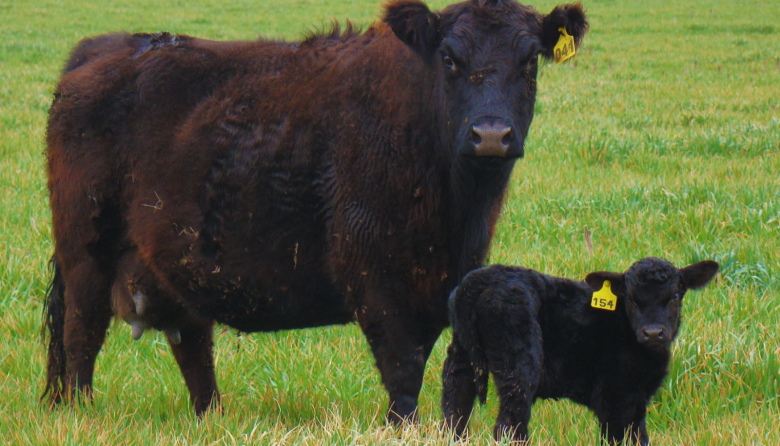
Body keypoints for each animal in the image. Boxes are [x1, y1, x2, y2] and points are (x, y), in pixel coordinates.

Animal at [42, 0, 588, 421]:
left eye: (530, 62)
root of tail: (109, 46)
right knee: (81, 336)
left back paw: (212, 416)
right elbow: (403, 372)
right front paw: (401, 428)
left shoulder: (440, 284)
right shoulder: (376, 280)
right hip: (86, 255)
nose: (491, 135)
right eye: (450, 58)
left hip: (175, 264)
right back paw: (82, 412)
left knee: (193, 347)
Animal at [442, 257, 720, 444]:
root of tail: (477, 282)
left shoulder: (636, 402)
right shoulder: (614, 397)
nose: (653, 332)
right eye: (630, 299)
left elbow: (640, 437)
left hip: (461, 351)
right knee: (509, 425)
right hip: (519, 360)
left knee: (455, 403)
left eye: (674, 296)